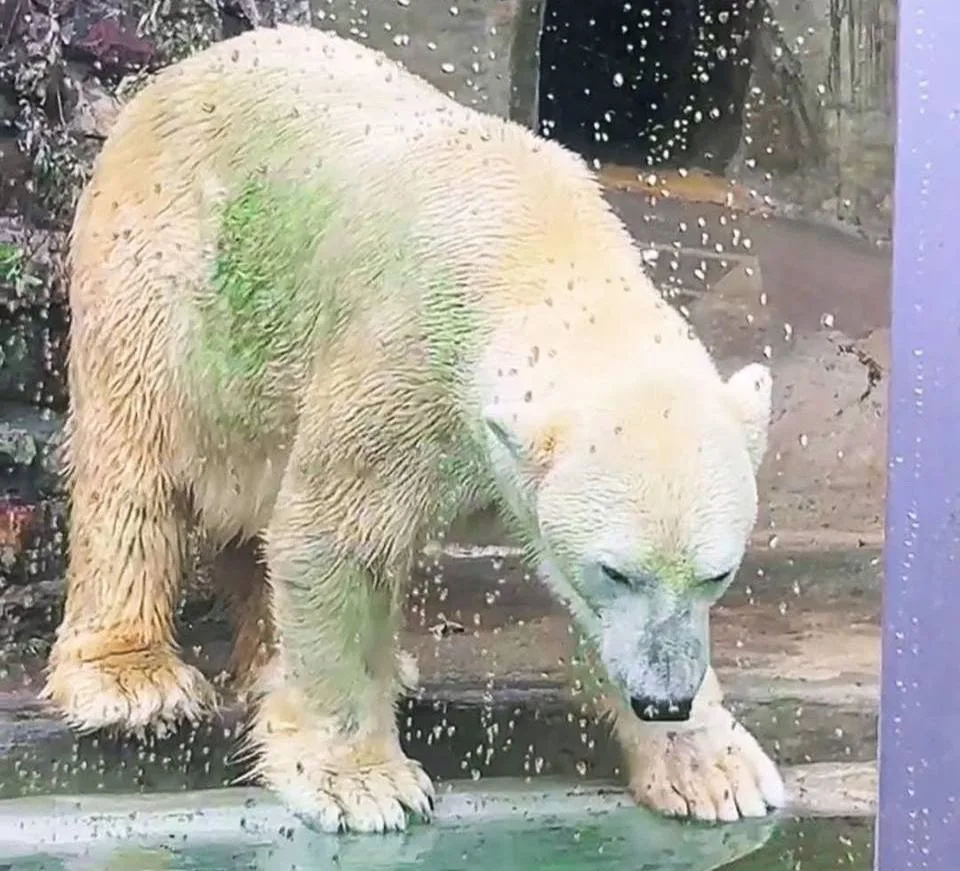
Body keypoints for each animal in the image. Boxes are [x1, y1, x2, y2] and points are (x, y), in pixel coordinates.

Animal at [41, 23, 786, 832]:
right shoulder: (407, 365)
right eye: (617, 569)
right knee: (137, 461)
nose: (664, 698)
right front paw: (360, 781)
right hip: (168, 285)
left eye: (718, 573)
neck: (539, 243)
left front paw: (716, 770)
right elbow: (337, 536)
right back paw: (132, 681)